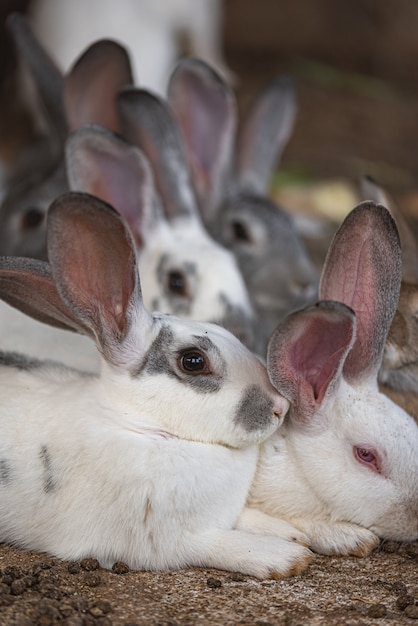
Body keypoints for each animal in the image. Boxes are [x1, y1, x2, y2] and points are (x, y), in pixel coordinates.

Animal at [0, 189, 314, 576]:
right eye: (193, 361)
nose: (280, 407)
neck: (140, 425)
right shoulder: (162, 542)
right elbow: (219, 543)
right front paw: (285, 556)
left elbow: (245, 517)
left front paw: (290, 531)